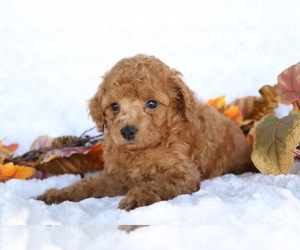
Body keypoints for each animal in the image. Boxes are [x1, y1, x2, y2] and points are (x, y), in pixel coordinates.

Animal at [36, 54, 254, 211]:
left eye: (151, 104)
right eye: (114, 106)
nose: (127, 131)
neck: (141, 151)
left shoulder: (184, 174)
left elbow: (157, 184)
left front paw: (137, 196)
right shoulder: (115, 175)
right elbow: (87, 185)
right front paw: (57, 194)